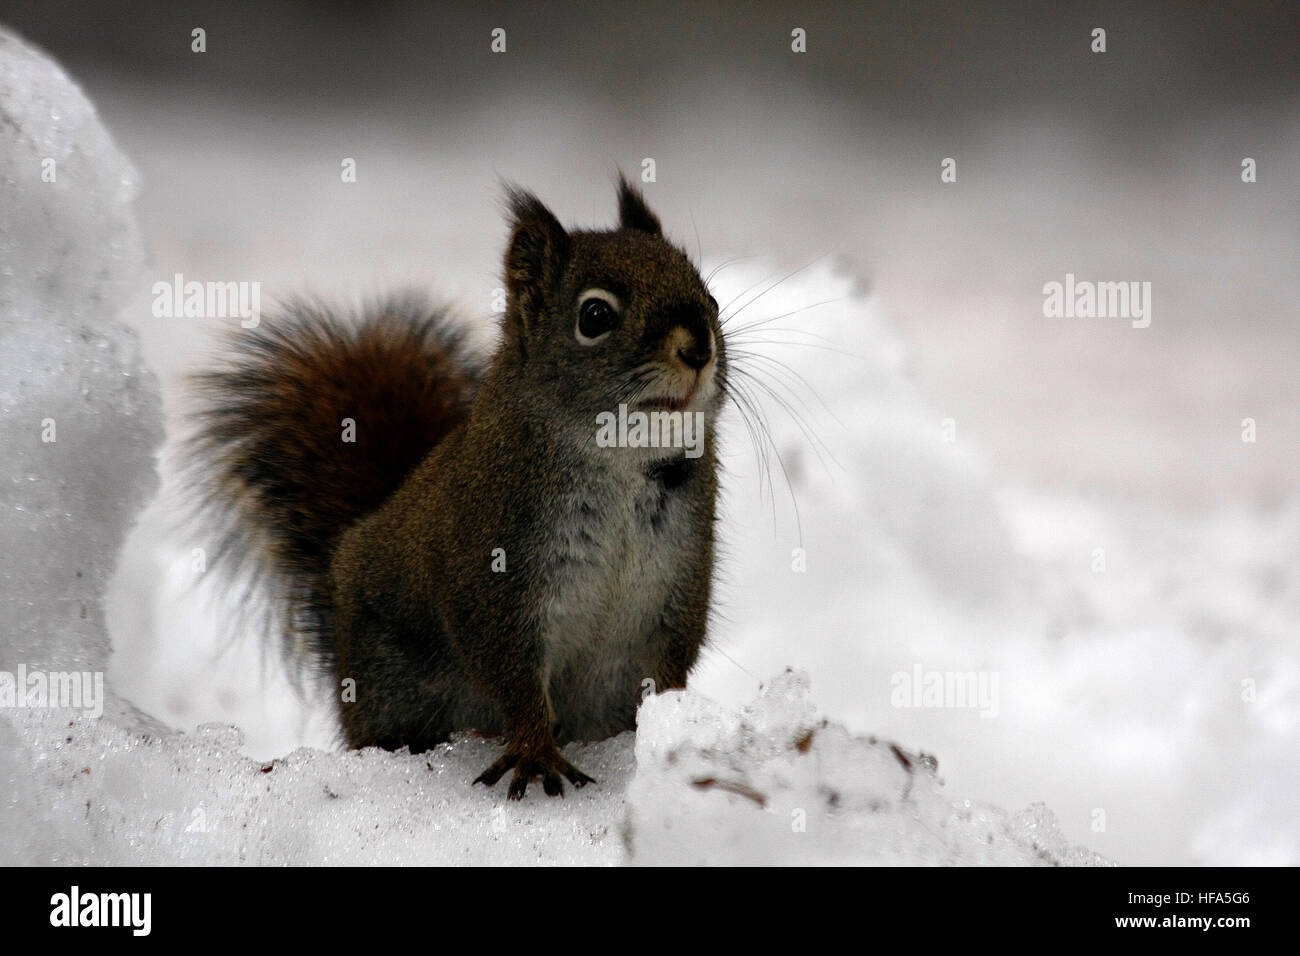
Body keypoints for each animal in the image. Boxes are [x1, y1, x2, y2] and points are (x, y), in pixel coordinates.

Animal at [188, 178, 728, 801]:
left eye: (709, 296)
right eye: (595, 315)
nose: (699, 347)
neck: (621, 463)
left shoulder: (677, 581)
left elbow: (669, 668)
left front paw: (672, 730)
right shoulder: (491, 571)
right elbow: (512, 676)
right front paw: (535, 751)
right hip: (395, 687)